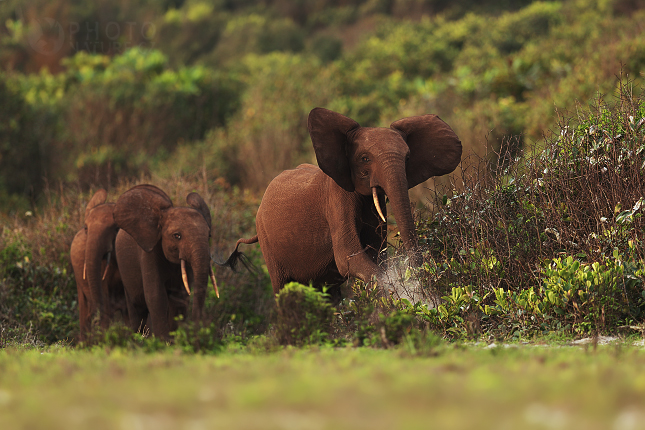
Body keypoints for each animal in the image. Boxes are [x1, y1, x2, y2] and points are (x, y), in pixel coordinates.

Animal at [113, 183, 219, 338]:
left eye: (209, 235)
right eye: (177, 236)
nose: (196, 328)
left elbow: (179, 298)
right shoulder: (148, 253)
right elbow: (156, 297)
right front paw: (163, 341)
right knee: (136, 307)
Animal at [224, 107, 460, 302]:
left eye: (408, 158)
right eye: (364, 159)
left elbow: (377, 254)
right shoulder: (337, 200)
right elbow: (348, 257)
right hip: (268, 244)